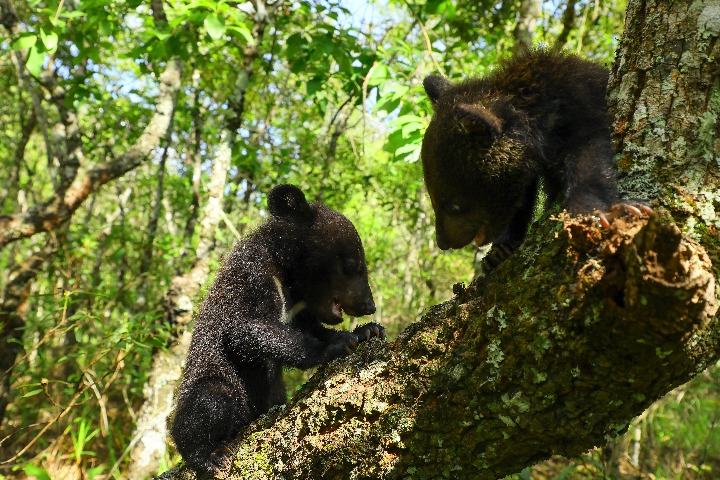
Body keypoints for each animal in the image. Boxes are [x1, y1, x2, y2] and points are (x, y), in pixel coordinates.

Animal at [170, 184, 384, 473]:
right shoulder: (252, 276)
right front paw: (335, 346)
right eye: (353, 266)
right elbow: (244, 328)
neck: (290, 281)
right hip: (216, 381)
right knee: (207, 401)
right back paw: (210, 455)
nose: (369, 305)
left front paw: (366, 331)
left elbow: (311, 327)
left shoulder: (299, 312)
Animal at [421, 48, 650, 270]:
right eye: (434, 198)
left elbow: (589, 158)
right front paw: (499, 251)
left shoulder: (580, 106)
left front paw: (600, 213)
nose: (443, 242)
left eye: (454, 205)